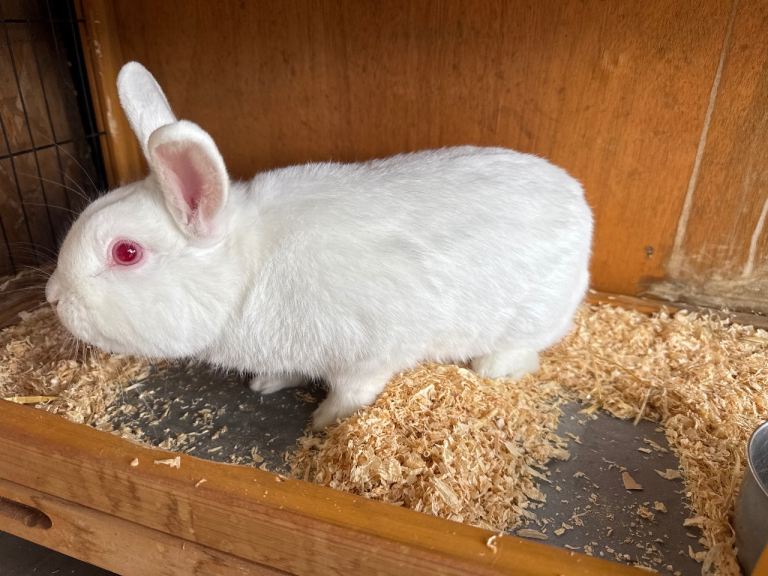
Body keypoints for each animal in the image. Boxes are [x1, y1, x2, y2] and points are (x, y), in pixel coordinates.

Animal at [46, 62, 593, 430]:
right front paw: (267, 383)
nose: (52, 296)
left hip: (530, 317)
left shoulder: (371, 352)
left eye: (126, 253)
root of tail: (579, 202)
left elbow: (354, 390)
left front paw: (326, 421)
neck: (246, 274)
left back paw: (494, 368)